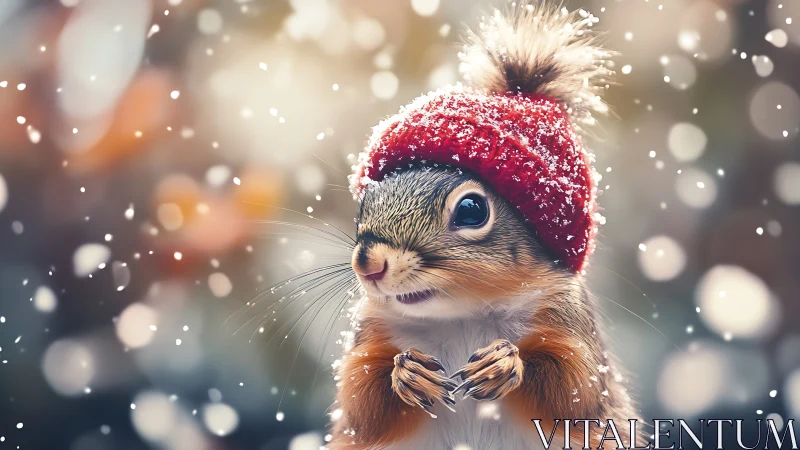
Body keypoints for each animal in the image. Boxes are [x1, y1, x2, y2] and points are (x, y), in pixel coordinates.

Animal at [328, 3, 640, 449]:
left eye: (472, 210)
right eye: (365, 202)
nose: (370, 264)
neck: (463, 316)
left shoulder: (569, 326)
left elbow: (573, 389)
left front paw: (504, 363)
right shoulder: (372, 336)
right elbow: (361, 400)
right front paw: (406, 373)